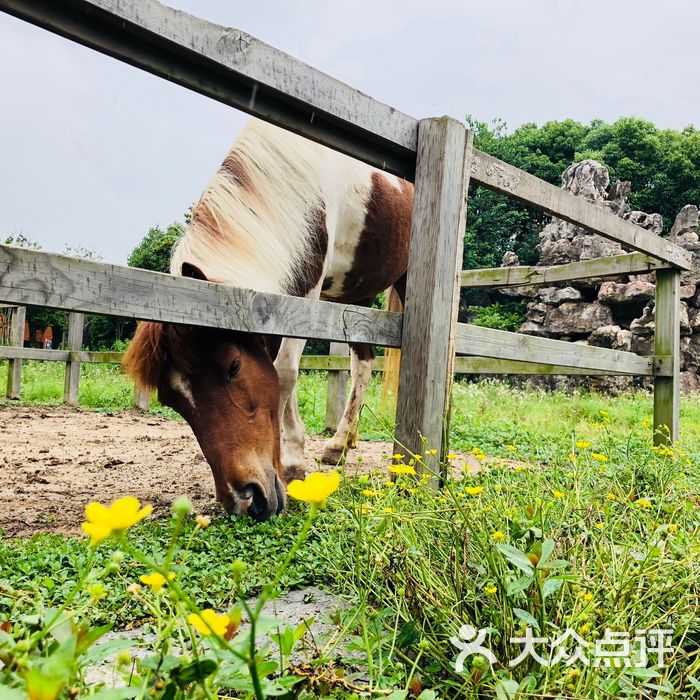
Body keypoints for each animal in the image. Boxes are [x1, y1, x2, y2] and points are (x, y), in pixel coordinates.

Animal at [123, 119, 412, 520]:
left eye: (233, 367)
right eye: (170, 399)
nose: (245, 500)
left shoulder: (305, 291)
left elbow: (284, 373)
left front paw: (292, 464)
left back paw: (339, 444)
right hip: (357, 296)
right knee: (363, 363)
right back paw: (342, 443)